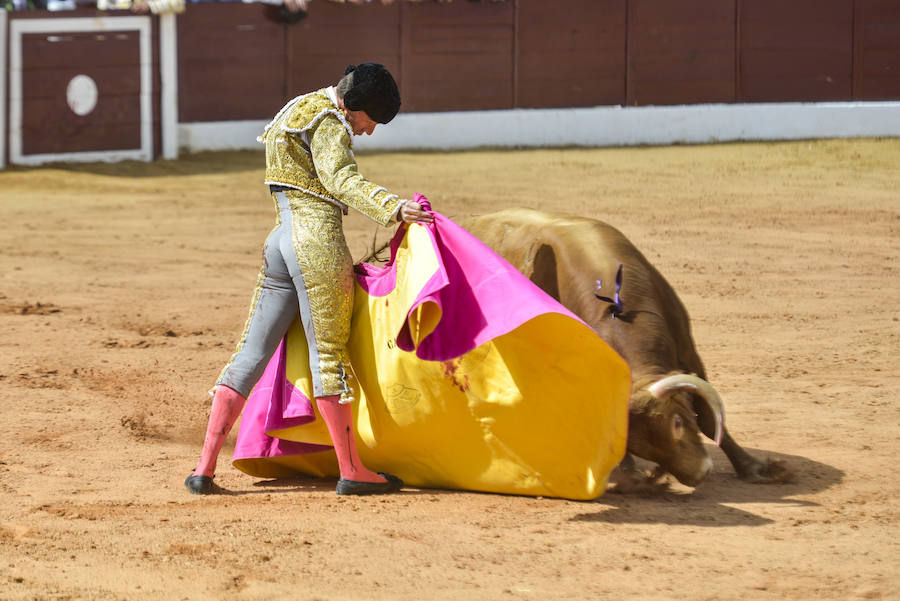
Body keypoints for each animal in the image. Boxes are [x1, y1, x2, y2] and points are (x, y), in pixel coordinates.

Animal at [464, 206, 788, 488]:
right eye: (642, 446)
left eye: (678, 421)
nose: (698, 475)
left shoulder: (688, 349)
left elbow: (710, 418)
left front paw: (756, 468)